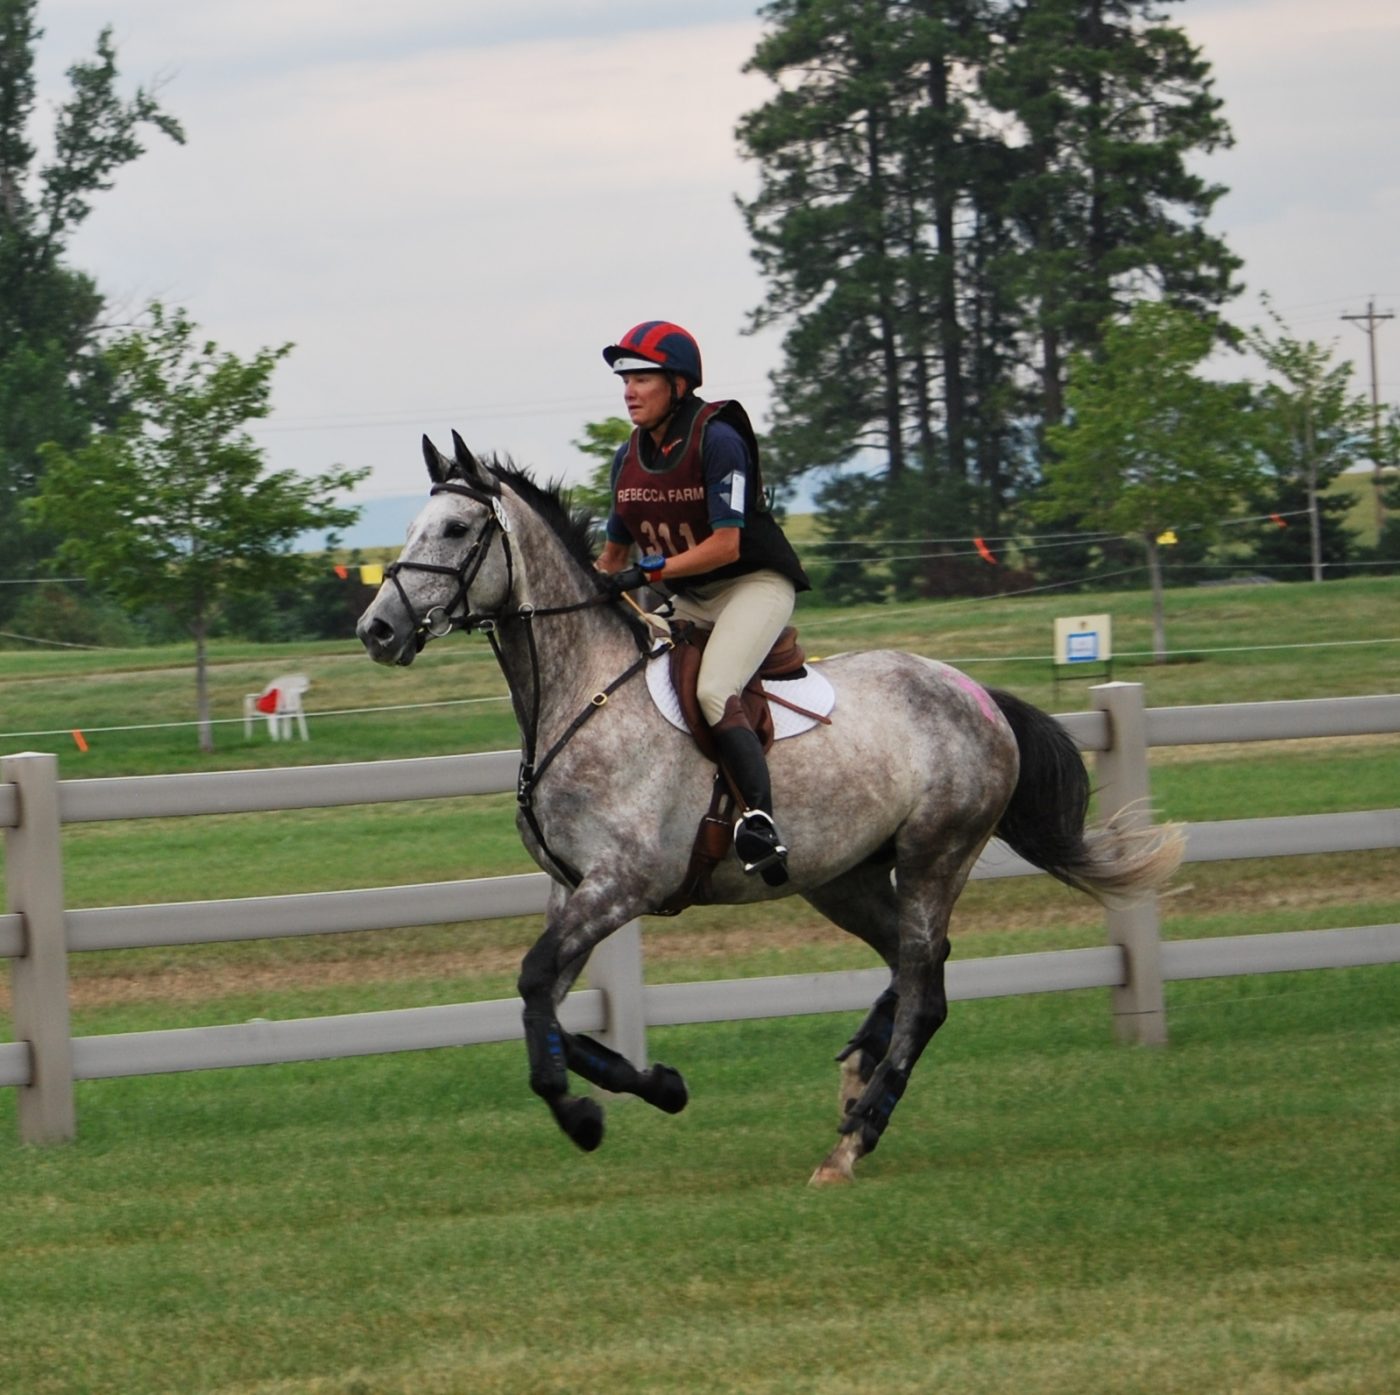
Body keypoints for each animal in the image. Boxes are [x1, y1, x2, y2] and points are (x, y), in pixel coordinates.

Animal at [352, 434, 1181, 1176]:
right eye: (413, 525)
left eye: (455, 530)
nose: (376, 629)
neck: (582, 693)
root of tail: (976, 693)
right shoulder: (572, 888)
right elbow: (550, 1006)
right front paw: (660, 1085)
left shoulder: (621, 885)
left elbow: (533, 989)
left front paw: (581, 1115)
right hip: (842, 878)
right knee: (913, 965)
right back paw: (858, 1070)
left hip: (934, 856)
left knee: (927, 991)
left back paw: (854, 1138)